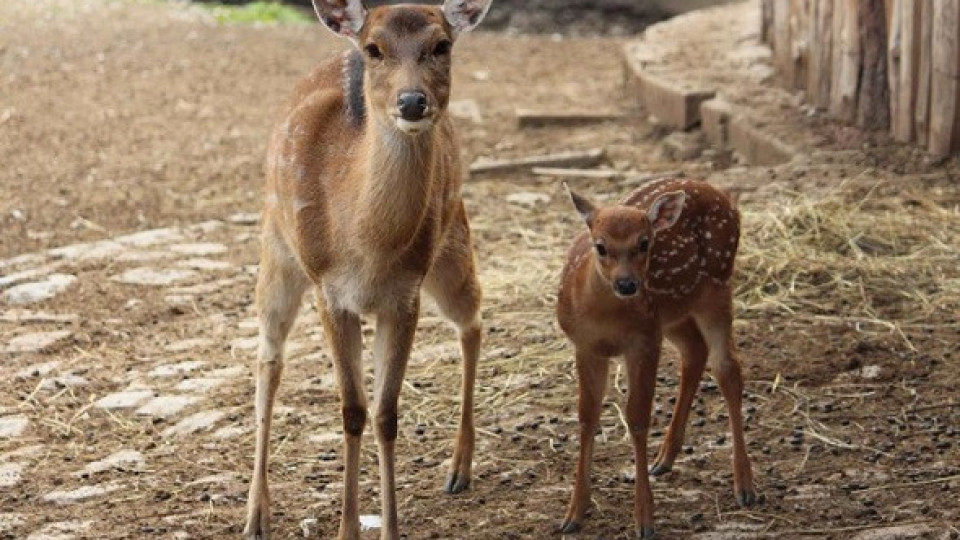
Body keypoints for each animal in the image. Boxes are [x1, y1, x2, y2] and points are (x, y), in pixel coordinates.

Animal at [244, 2, 492, 536]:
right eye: (374, 48)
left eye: (441, 45)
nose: (413, 101)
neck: (368, 248)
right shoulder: (330, 292)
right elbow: (353, 411)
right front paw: (347, 527)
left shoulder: (404, 295)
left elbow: (385, 415)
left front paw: (390, 527)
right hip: (277, 252)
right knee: (269, 357)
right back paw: (255, 512)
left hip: (453, 241)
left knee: (472, 320)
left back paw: (459, 468)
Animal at [560, 179, 752, 536]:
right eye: (600, 246)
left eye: (644, 242)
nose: (627, 284)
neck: (603, 318)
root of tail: (723, 196)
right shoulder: (586, 346)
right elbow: (586, 417)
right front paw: (573, 514)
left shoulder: (644, 341)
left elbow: (637, 417)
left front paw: (644, 519)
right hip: (674, 313)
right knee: (695, 352)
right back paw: (664, 458)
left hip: (716, 288)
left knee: (728, 369)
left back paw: (744, 485)